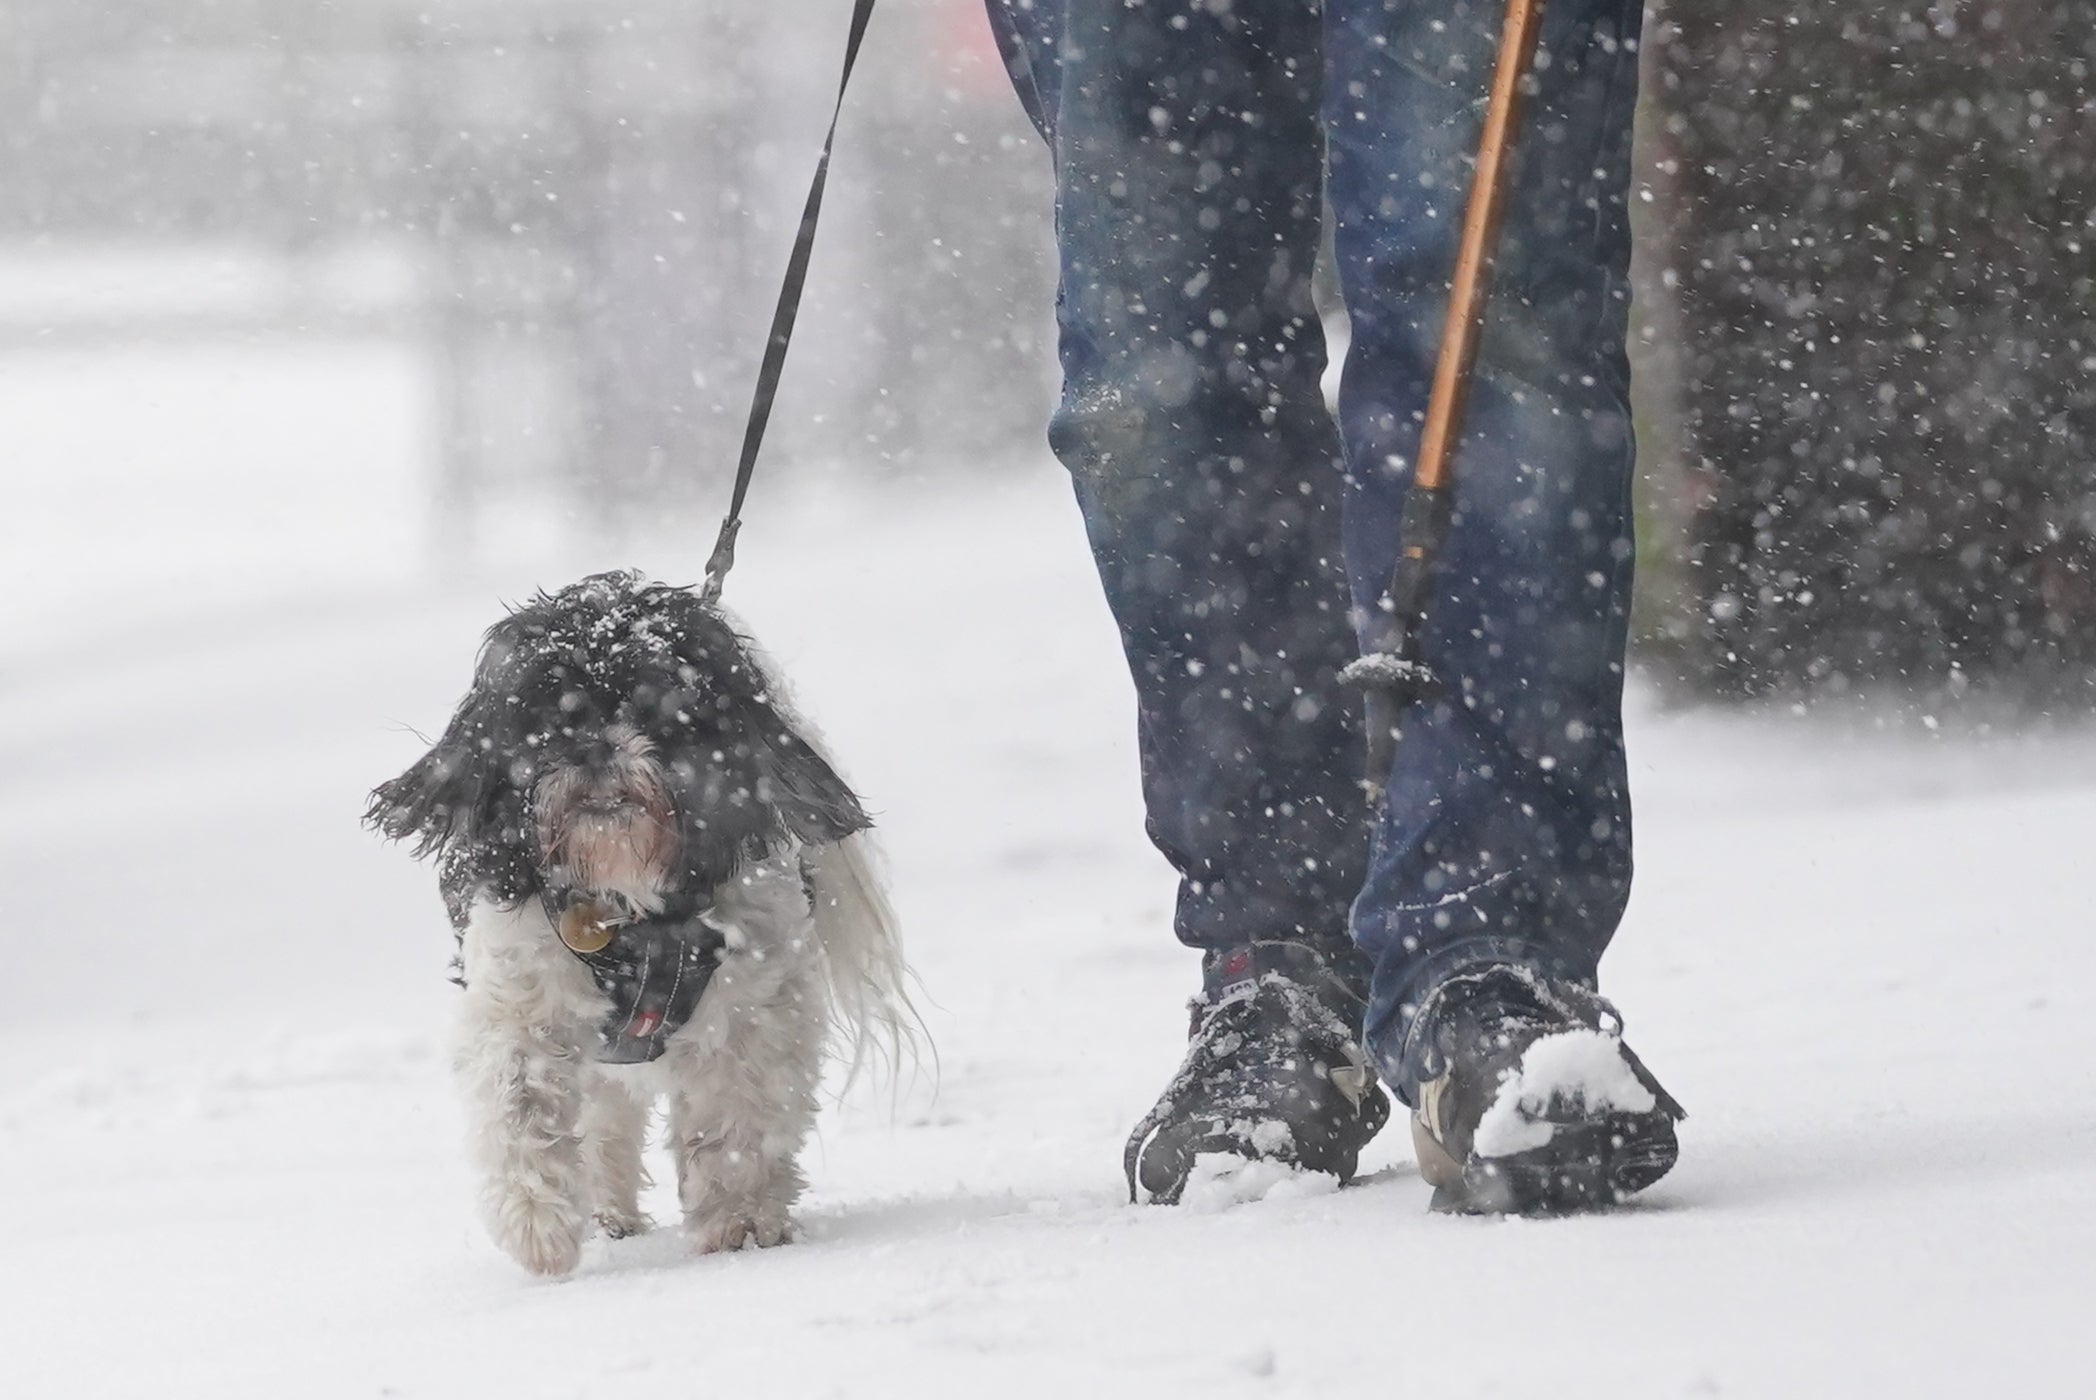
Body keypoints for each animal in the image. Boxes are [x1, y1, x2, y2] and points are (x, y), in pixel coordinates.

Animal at [368, 570, 909, 1282]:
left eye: (657, 707)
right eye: (547, 714)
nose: (596, 745)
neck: (627, 906)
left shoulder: (757, 1006)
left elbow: (740, 1115)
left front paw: (739, 1221)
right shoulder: (519, 994)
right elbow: (520, 1100)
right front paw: (538, 1227)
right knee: (603, 1119)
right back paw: (607, 1215)